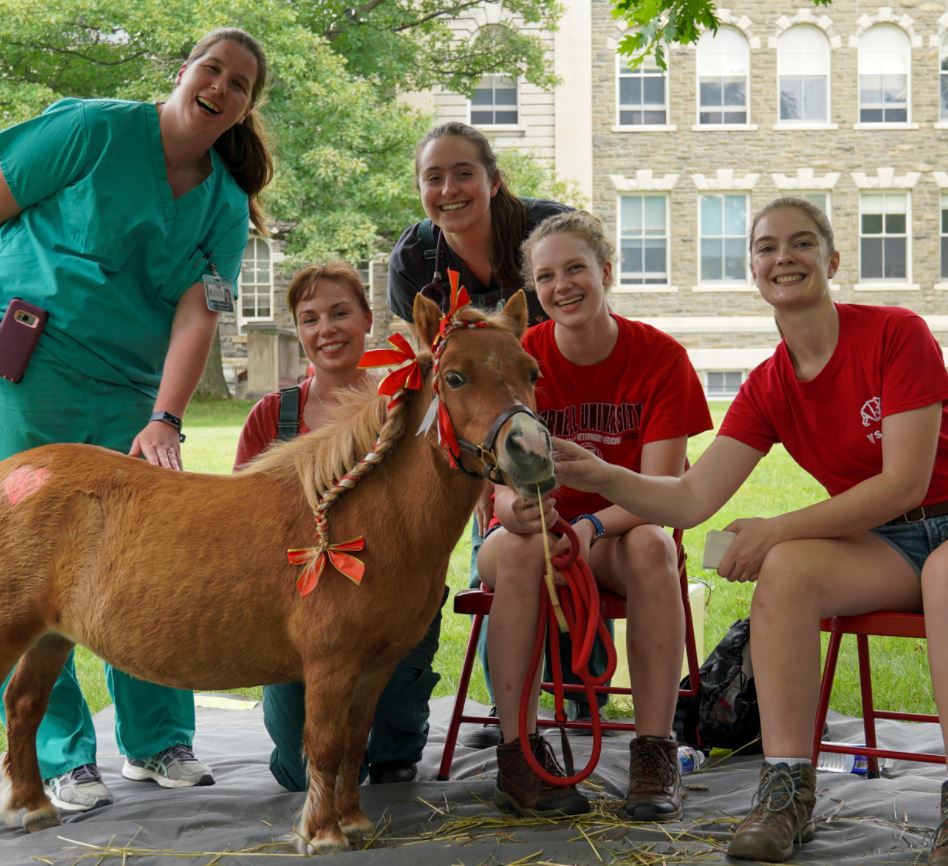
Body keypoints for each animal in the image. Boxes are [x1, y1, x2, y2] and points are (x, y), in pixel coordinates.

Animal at [0, 290, 552, 852]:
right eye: (455, 377)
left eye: (531, 372)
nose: (531, 451)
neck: (360, 515)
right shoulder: (331, 666)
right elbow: (326, 746)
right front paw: (324, 834)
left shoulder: (374, 667)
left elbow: (354, 743)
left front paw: (354, 821)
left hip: (51, 638)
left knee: (23, 706)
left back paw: (32, 808)